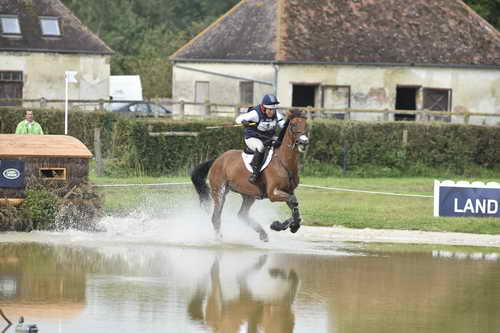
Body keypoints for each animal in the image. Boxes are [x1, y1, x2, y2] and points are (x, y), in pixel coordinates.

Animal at [191, 109, 308, 241]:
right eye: (293, 125)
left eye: (306, 125)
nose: (304, 142)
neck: (283, 161)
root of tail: (217, 159)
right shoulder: (273, 194)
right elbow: (293, 202)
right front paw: (281, 225)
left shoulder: (288, 191)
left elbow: (294, 204)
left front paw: (289, 225)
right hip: (220, 192)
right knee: (216, 216)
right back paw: (219, 239)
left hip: (248, 195)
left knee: (242, 215)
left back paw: (262, 233)